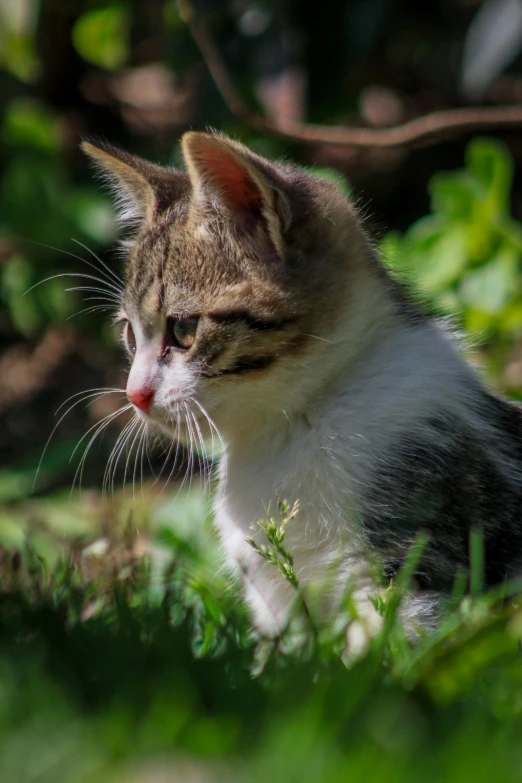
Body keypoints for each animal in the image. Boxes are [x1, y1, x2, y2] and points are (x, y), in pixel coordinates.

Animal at [83, 130, 520, 644]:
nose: (135, 395)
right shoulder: (274, 599)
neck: (290, 429)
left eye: (184, 330)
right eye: (130, 335)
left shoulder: (415, 561)